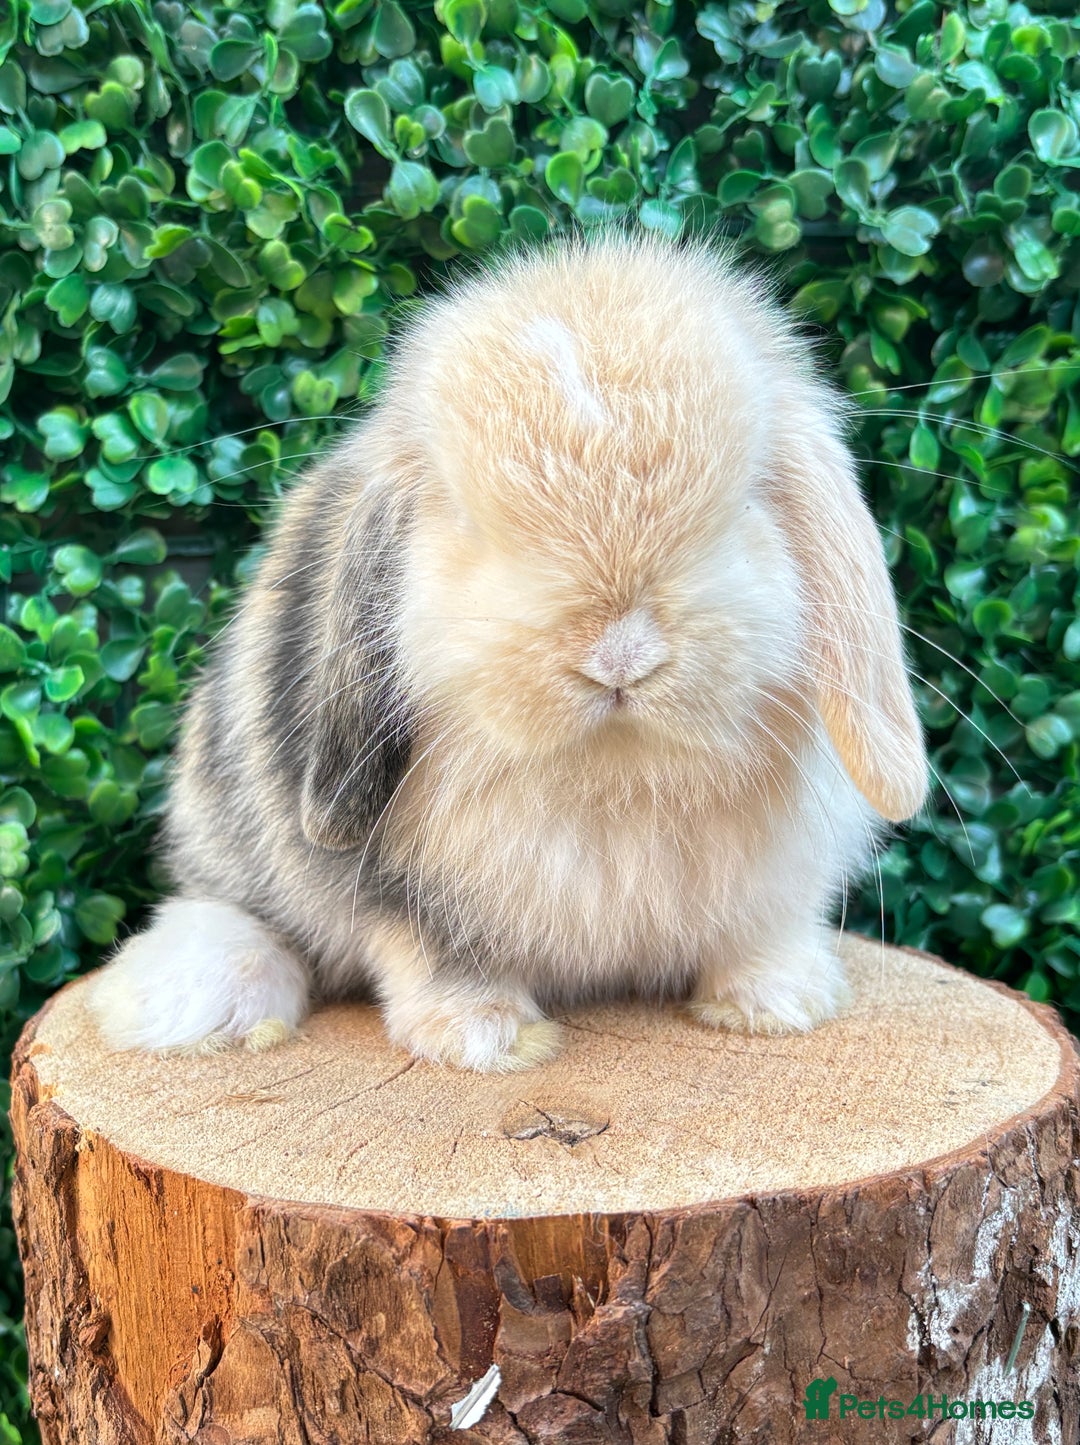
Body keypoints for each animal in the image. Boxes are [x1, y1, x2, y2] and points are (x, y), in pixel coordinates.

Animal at [88, 230, 928, 1073]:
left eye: (752, 497)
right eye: (463, 519)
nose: (619, 655)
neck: (616, 778)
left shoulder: (776, 883)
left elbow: (762, 933)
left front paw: (776, 1003)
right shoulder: (401, 887)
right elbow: (434, 951)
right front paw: (487, 1037)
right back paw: (203, 1000)